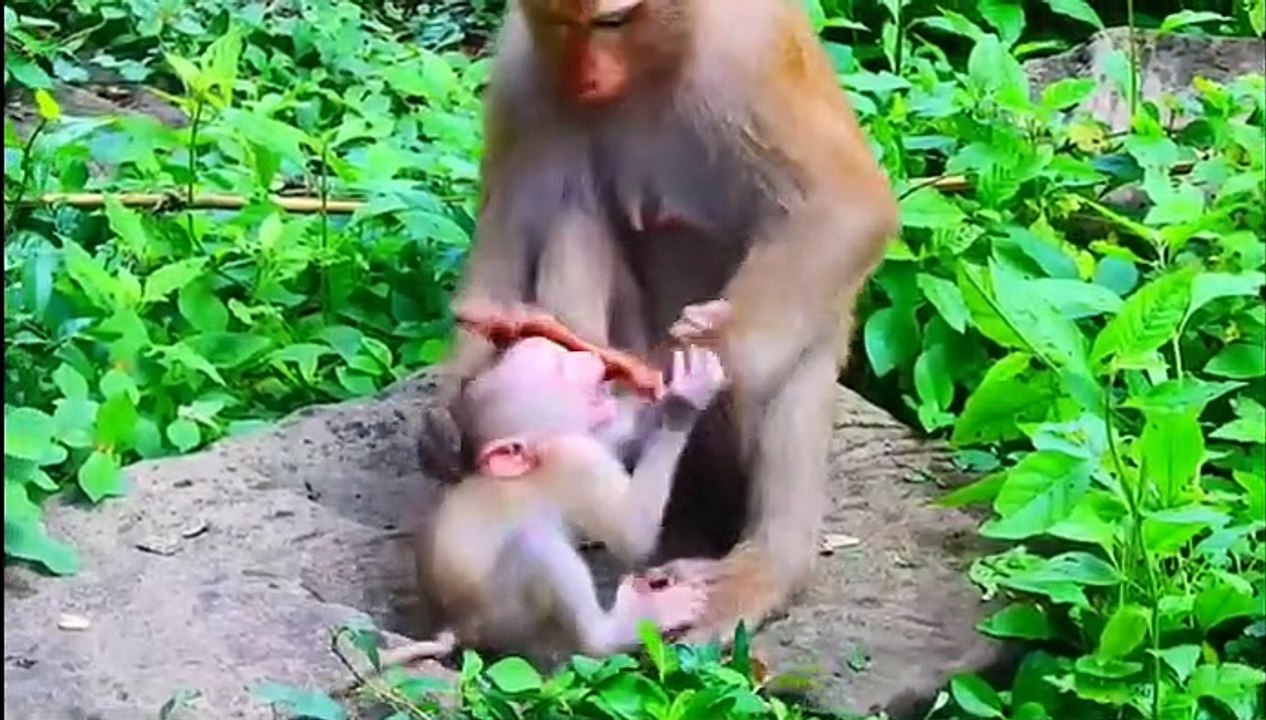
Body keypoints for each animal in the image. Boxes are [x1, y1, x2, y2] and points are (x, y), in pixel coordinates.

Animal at [387, 328, 728, 668]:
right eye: (559, 368)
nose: (590, 358)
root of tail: (452, 627)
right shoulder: (575, 457)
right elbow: (633, 534)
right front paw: (684, 397)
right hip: (507, 615)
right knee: (539, 550)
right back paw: (620, 628)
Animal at [423, 0, 899, 647]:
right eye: (561, 23)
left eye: (613, 21)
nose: (586, 80)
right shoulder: (524, 68)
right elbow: (511, 224)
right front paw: (452, 405)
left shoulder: (749, 53)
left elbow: (845, 206)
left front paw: (715, 352)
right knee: (570, 198)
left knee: (796, 356)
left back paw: (768, 564)